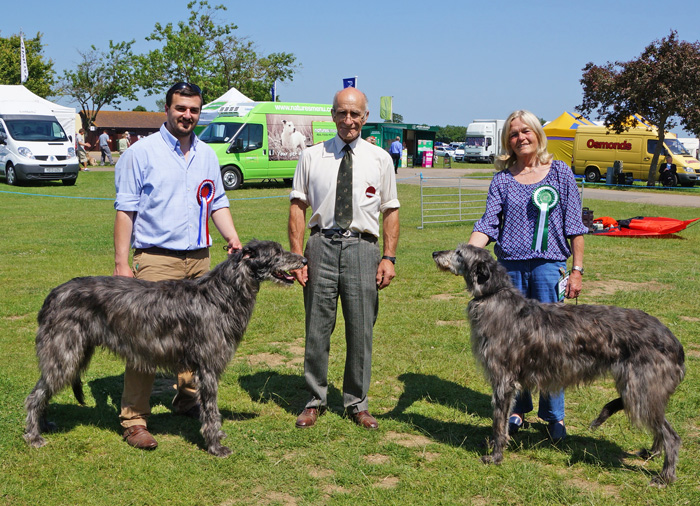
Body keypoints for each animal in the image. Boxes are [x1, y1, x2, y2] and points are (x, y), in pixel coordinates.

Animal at [25, 239, 304, 456]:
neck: (220, 294)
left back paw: (44, 424)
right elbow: (211, 411)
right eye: (276, 252)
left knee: (43, 392)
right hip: (64, 353)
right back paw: (33, 436)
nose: (302, 259)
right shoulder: (208, 367)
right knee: (34, 395)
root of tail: (53, 295)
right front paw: (215, 446)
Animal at [432, 245, 684, 486]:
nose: (434, 253)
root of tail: (674, 342)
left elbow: (498, 423)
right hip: (641, 391)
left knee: (672, 436)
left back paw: (665, 477)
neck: (494, 297)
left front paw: (495, 456)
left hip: (640, 391)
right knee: (661, 428)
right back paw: (652, 453)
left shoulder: (503, 380)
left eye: (459, 253)